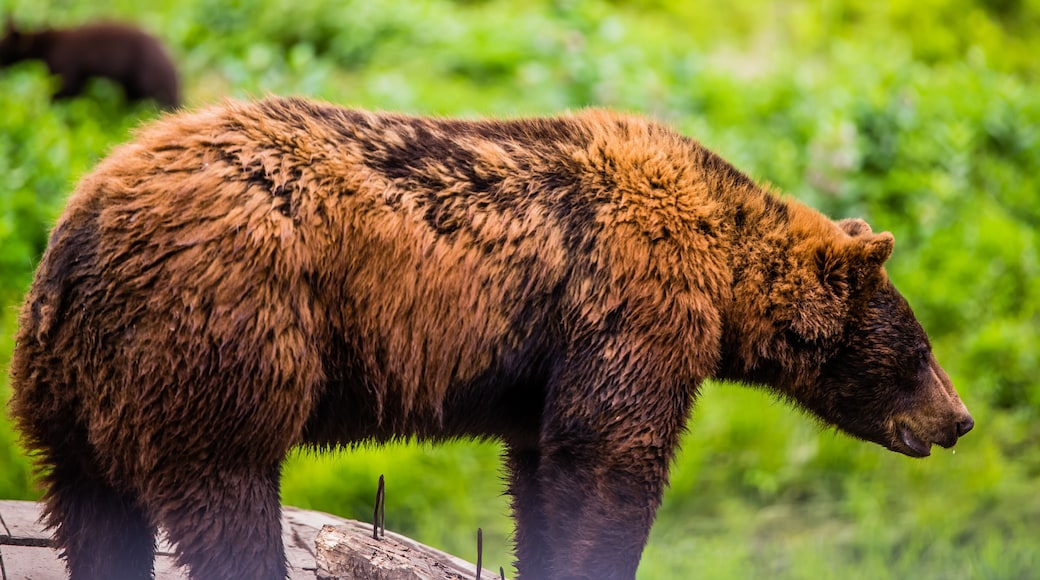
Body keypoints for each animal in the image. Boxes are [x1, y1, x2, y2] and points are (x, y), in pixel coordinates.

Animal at [0, 18, 180, 109]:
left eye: (3, 48)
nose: (2, 67)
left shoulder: (65, 64)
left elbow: (65, 91)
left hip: (148, 75)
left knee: (163, 97)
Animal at [8, 97, 973, 580]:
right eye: (922, 351)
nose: (958, 419)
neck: (723, 274)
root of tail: (85, 227)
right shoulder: (631, 301)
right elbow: (614, 455)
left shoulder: (544, 373)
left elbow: (546, 468)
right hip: (226, 327)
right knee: (225, 487)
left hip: (67, 380)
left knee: (94, 509)